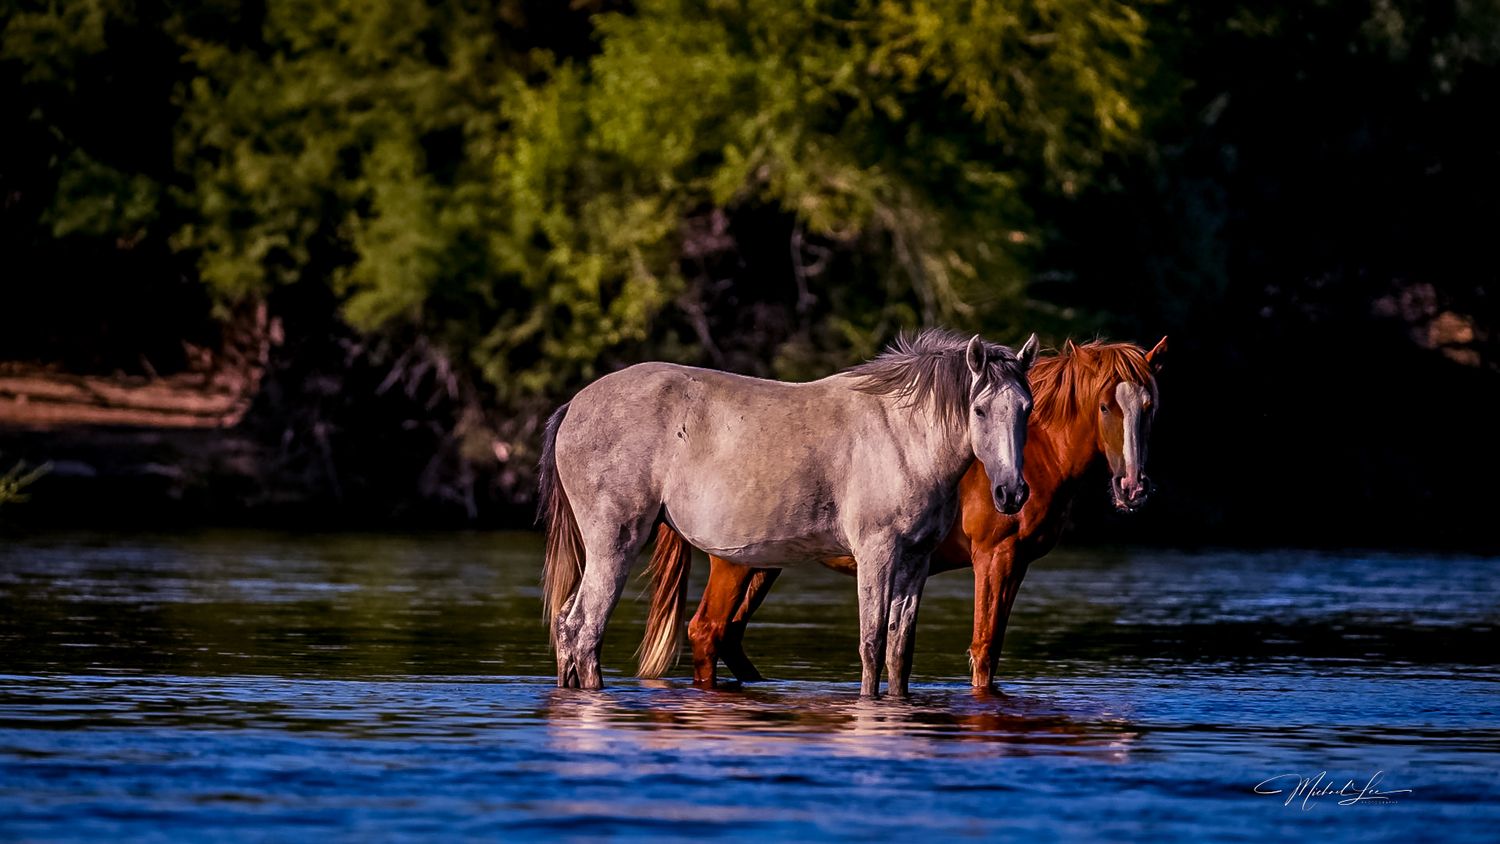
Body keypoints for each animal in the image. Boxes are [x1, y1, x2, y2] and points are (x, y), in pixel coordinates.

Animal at [539, 329, 1040, 696]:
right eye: (979, 409)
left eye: (1026, 408)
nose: (1011, 493)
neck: (902, 436)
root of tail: (574, 406)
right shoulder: (877, 553)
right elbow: (872, 642)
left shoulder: (916, 559)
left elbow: (900, 649)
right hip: (615, 544)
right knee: (584, 630)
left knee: (566, 627)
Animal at [638, 337, 1166, 689]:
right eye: (1105, 406)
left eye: (1150, 406)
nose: (1133, 488)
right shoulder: (996, 559)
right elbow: (984, 650)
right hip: (734, 563)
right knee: (707, 631)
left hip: (763, 563)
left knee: (726, 636)